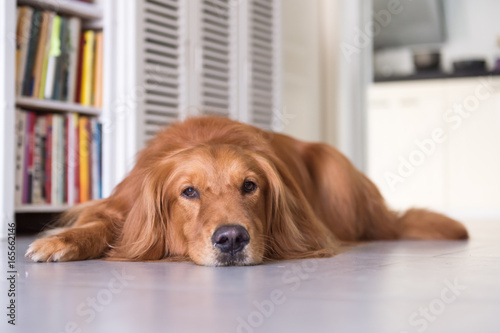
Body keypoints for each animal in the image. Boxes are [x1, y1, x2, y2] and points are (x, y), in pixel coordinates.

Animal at [24, 116, 468, 264]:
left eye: (250, 186)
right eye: (189, 192)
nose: (233, 239)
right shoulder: (123, 207)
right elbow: (99, 224)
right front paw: (60, 241)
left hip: (334, 165)